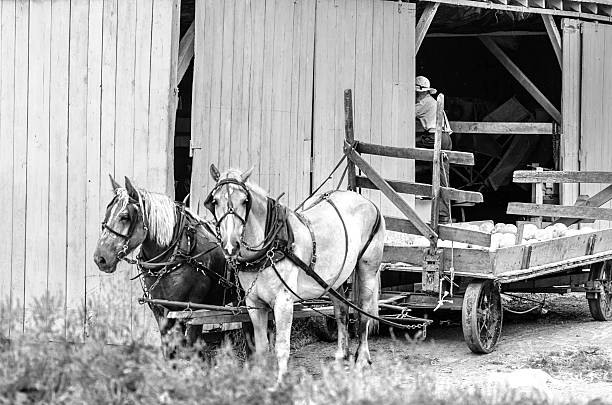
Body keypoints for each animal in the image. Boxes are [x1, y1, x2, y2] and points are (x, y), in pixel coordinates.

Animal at [92, 175, 232, 356]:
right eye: (108, 212)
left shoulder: (194, 310)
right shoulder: (160, 309)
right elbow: (169, 349)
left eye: (125, 217)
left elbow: (192, 347)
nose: (100, 258)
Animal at [206, 163, 388, 378]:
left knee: (363, 314)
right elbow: (261, 347)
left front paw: (280, 380)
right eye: (215, 201)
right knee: (342, 311)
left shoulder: (283, 302)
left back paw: (362, 359)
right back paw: (341, 355)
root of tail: (367, 201)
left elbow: (282, 346)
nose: (230, 245)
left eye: (244, 201)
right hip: (334, 279)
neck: (272, 246)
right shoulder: (254, 303)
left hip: (367, 269)